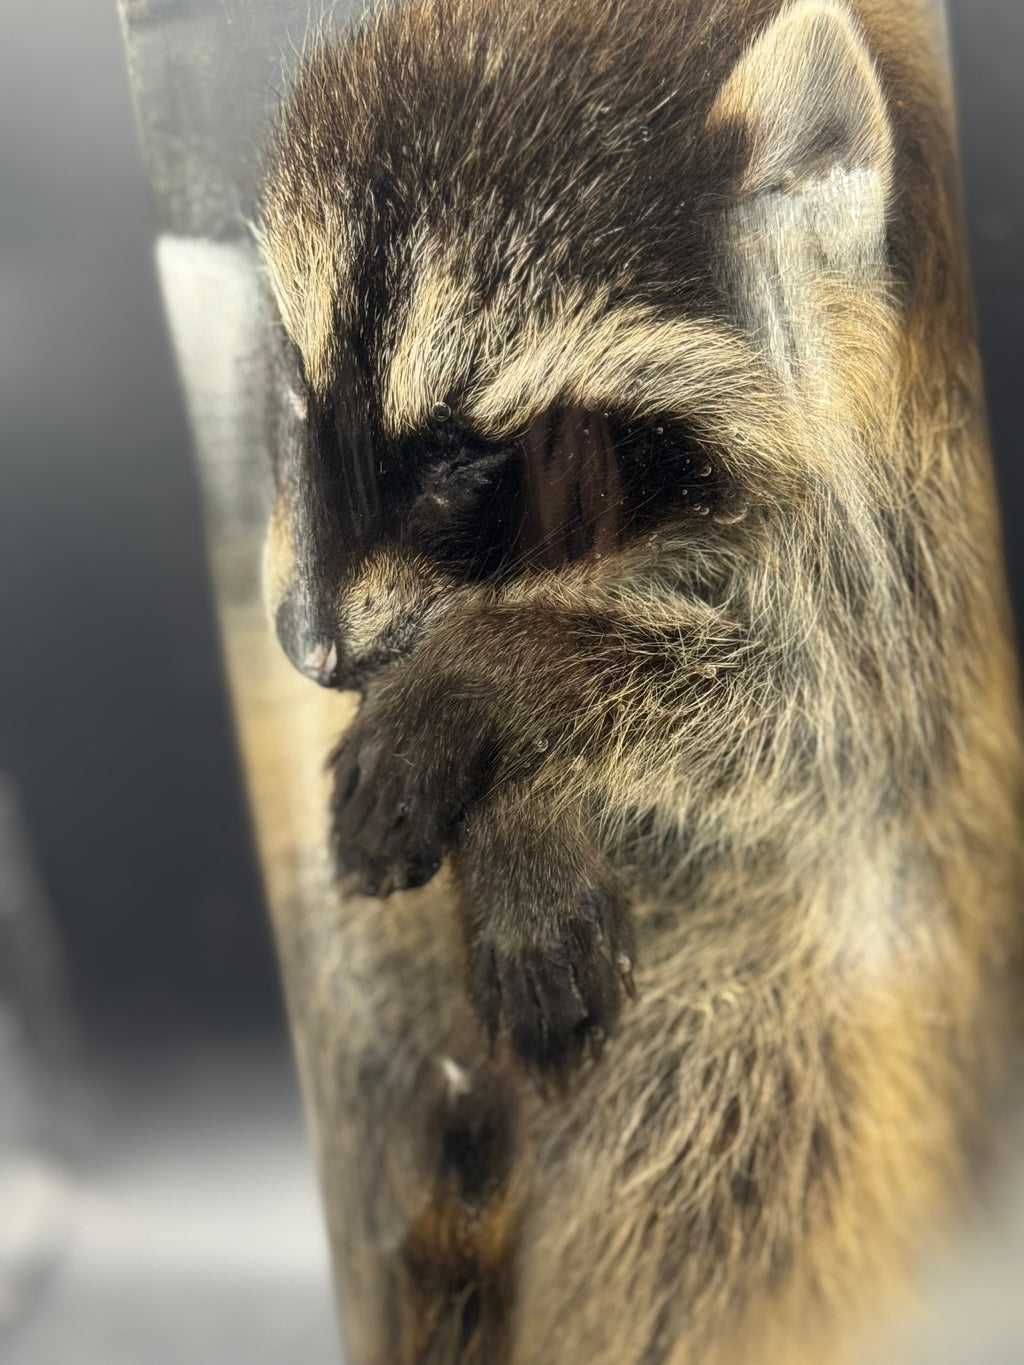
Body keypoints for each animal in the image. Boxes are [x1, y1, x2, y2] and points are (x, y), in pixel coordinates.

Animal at [257, 1, 1023, 1361]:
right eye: (299, 404)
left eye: (461, 462)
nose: (312, 648)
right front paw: (515, 811)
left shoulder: (912, 549)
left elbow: (828, 717)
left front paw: (512, 693)